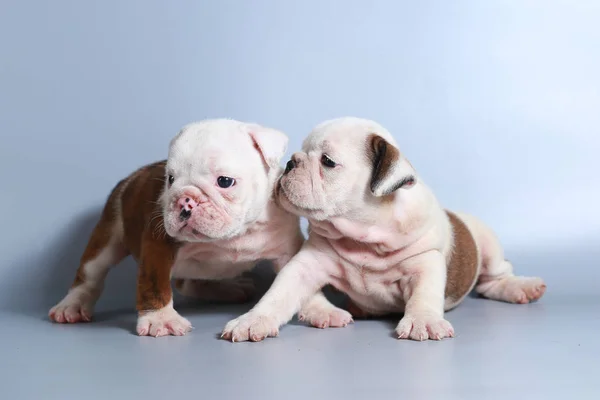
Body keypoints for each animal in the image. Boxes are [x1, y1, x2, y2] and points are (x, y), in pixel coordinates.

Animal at [49, 119, 350, 338]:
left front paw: (321, 309)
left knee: (189, 281)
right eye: (170, 179)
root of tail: (132, 177)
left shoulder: (288, 251)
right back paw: (71, 306)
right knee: (90, 275)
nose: (184, 199)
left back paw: (228, 289)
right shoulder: (157, 247)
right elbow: (154, 285)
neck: (236, 233)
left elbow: (301, 284)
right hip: (108, 234)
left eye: (224, 181)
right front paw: (160, 319)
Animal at [221, 117, 548, 342]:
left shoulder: (424, 262)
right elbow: (279, 293)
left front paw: (423, 321)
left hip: (488, 245)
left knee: (495, 278)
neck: (364, 234)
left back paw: (520, 287)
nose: (290, 163)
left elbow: (424, 295)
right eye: (299, 153)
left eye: (327, 162)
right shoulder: (308, 263)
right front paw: (253, 320)